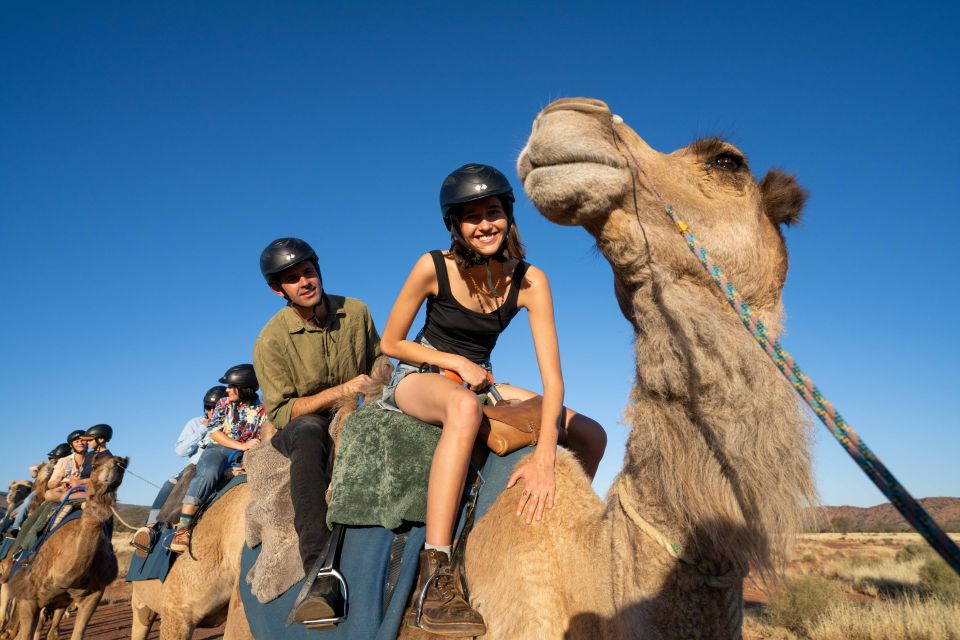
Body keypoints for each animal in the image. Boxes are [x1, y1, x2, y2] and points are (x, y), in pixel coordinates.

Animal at [4, 456, 129, 640]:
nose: (117, 463)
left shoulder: (91, 597)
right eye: (94, 464)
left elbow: (71, 633)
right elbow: (25, 632)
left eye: (124, 465)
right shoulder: (28, 597)